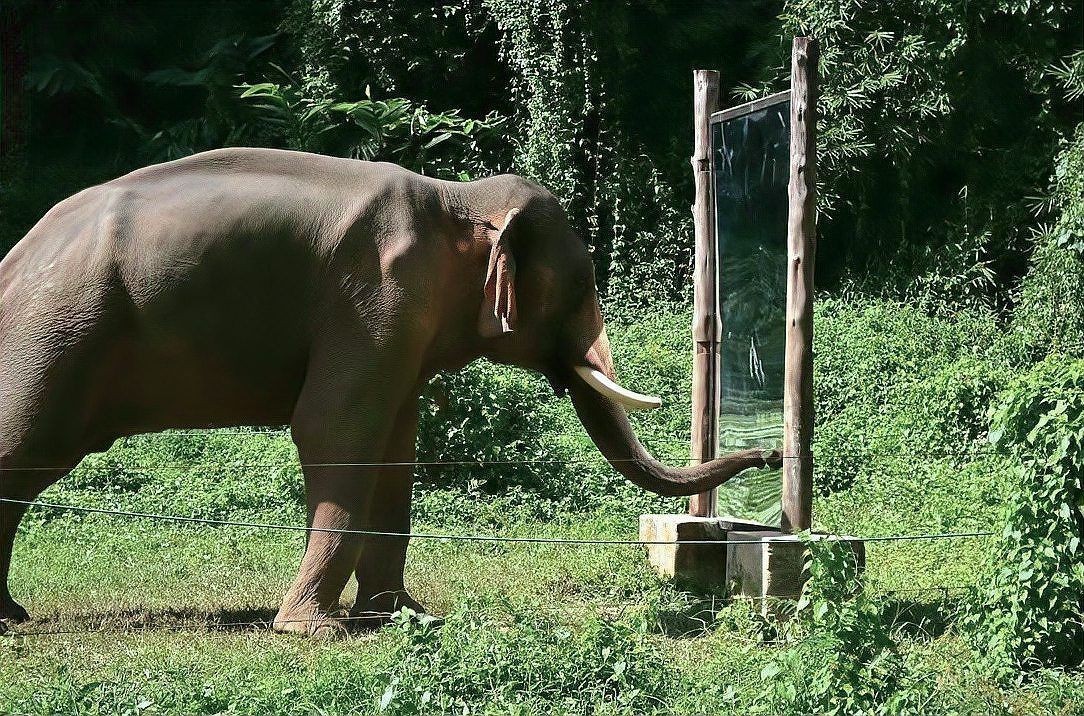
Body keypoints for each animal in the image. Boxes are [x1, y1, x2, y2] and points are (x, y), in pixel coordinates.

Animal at [0, 147, 780, 635]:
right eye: (581, 285)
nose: (773, 455)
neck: (454, 195)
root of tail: (17, 254)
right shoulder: (374, 298)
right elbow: (334, 432)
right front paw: (310, 632)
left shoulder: (402, 328)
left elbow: (395, 451)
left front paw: (401, 615)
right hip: (57, 336)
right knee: (25, 451)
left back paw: (11, 614)